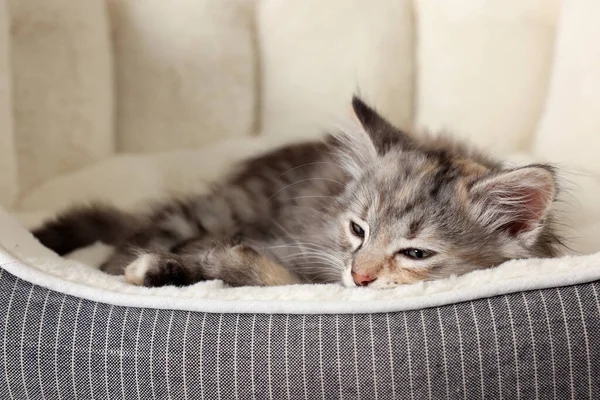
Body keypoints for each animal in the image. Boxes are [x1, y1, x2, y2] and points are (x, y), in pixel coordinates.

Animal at [31, 98, 564, 290]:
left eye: (415, 253)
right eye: (357, 229)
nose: (360, 275)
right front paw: (165, 268)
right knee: (123, 248)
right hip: (212, 211)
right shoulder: (299, 246)